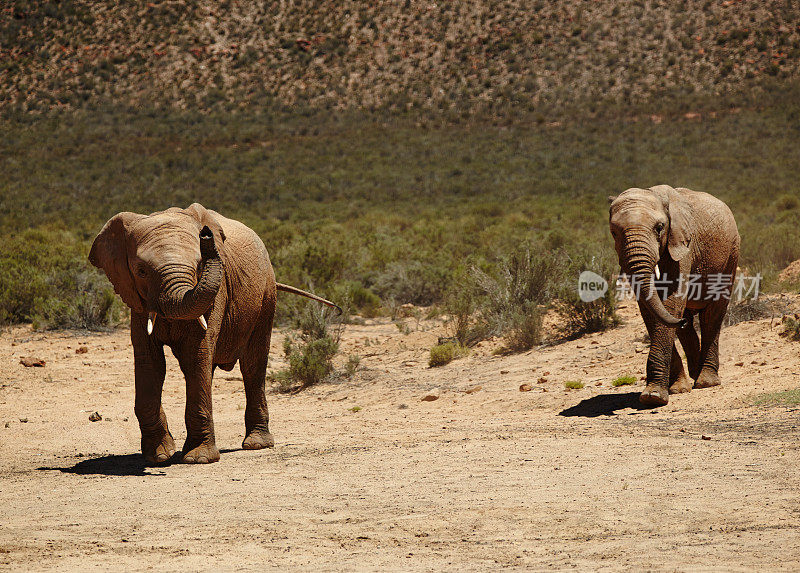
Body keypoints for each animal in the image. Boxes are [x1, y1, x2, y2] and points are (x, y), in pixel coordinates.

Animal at [608, 185, 744, 404]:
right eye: (614, 232)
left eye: (659, 227)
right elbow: (650, 309)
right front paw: (671, 391)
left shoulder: (681, 246)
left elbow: (670, 302)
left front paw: (653, 397)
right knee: (686, 322)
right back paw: (694, 372)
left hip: (731, 253)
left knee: (712, 314)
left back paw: (706, 382)